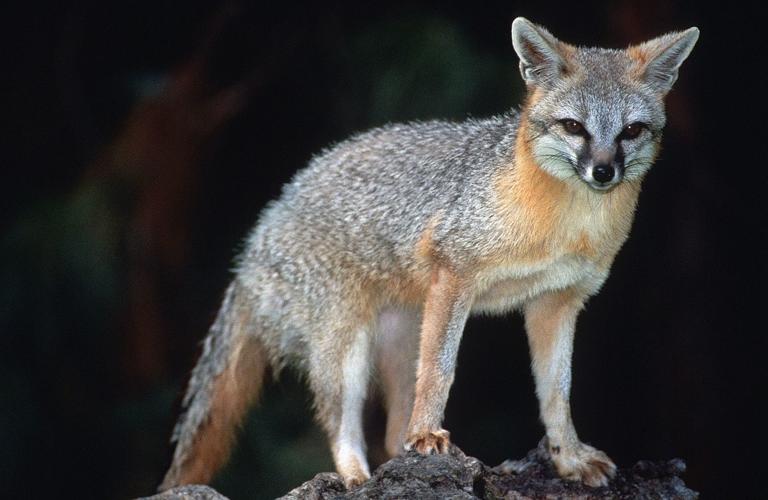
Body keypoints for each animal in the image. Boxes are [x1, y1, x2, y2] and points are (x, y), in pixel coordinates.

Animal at [159, 17, 699, 491]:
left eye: (631, 131)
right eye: (574, 127)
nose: (603, 172)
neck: (566, 226)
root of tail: (257, 237)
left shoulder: (556, 302)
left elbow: (556, 392)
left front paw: (568, 458)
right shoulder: (453, 274)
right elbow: (441, 371)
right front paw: (427, 434)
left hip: (400, 339)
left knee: (390, 430)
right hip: (346, 347)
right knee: (341, 422)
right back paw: (356, 477)